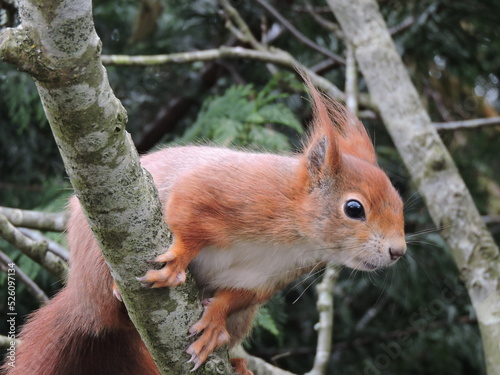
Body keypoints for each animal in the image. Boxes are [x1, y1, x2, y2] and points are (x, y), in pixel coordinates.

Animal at [2, 81, 406, 375]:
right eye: (354, 208)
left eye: (400, 204)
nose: (397, 251)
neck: (296, 237)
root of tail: (80, 300)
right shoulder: (229, 190)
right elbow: (189, 212)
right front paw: (179, 258)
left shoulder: (266, 277)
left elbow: (237, 296)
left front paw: (213, 322)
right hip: (97, 262)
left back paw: (238, 362)